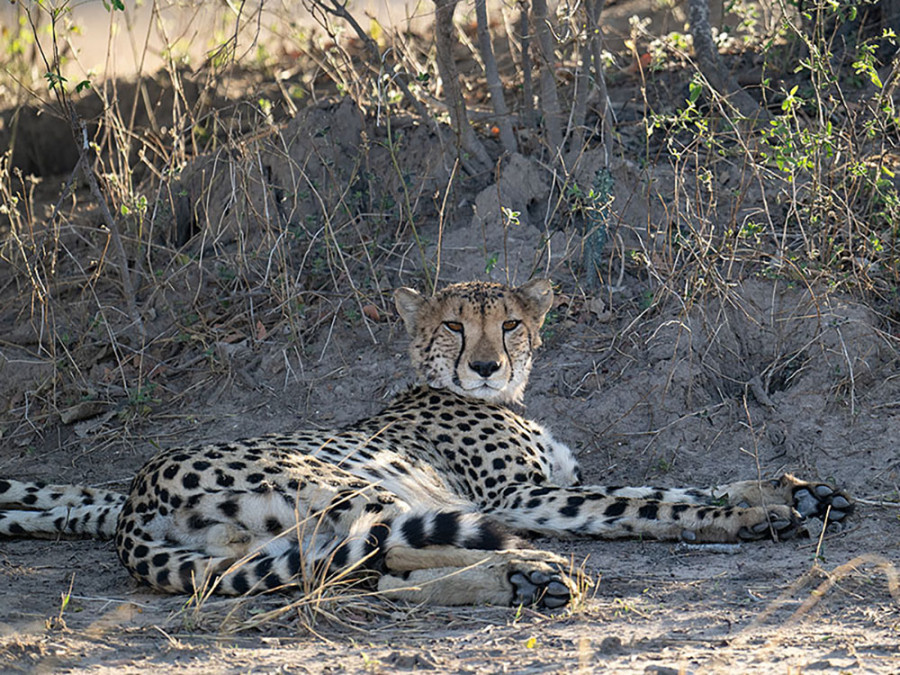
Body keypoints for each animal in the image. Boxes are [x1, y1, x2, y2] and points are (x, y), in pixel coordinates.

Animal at [0, 278, 856, 608]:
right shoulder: (522, 496)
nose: (484, 363)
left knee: (363, 572)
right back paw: (528, 573)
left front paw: (795, 494)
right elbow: (646, 503)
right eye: (452, 324)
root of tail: (136, 499)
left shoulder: (543, 487)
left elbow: (669, 488)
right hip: (355, 488)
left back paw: (524, 577)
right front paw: (755, 512)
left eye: (508, 323)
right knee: (384, 563)